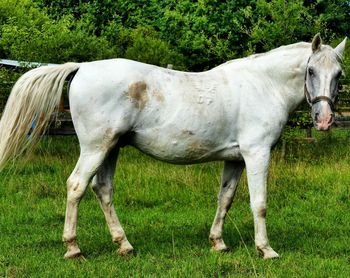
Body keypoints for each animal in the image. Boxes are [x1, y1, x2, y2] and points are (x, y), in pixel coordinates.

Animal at [0, 34, 346, 258]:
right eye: (311, 70)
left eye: (339, 74)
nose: (325, 119)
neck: (263, 84)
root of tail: (83, 67)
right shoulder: (257, 153)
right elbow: (258, 203)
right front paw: (266, 249)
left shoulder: (235, 158)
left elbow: (225, 199)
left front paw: (218, 243)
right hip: (95, 148)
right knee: (76, 186)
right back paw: (73, 248)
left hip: (112, 148)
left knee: (103, 190)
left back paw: (124, 246)